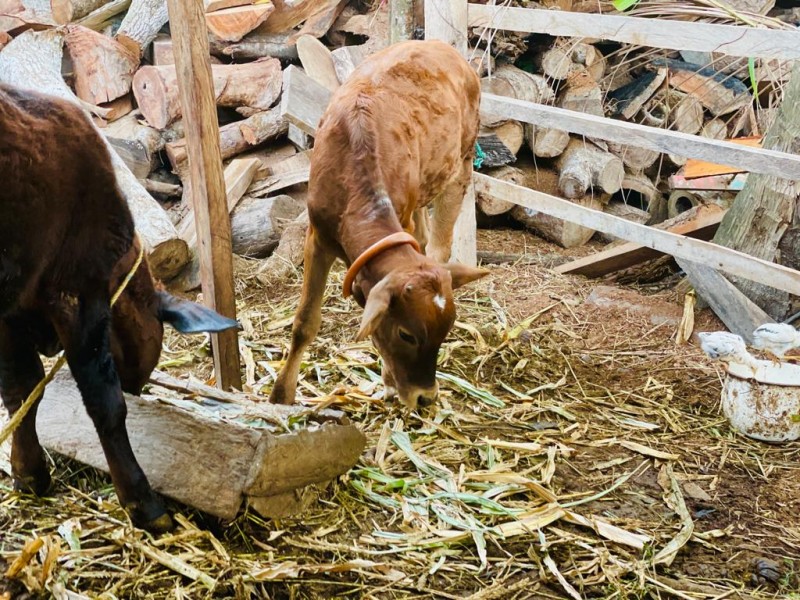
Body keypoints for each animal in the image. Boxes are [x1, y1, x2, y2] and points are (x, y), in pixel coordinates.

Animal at [0, 83, 238, 528]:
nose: (138, 389)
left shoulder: (9, 315)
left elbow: (23, 390)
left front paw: (29, 472)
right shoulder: (77, 291)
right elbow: (105, 404)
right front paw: (142, 502)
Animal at [270, 39, 488, 410]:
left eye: (446, 331)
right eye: (406, 334)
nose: (426, 397)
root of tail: (443, 47)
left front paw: (388, 381)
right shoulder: (318, 235)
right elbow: (304, 323)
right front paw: (280, 396)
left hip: (461, 164)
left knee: (439, 246)